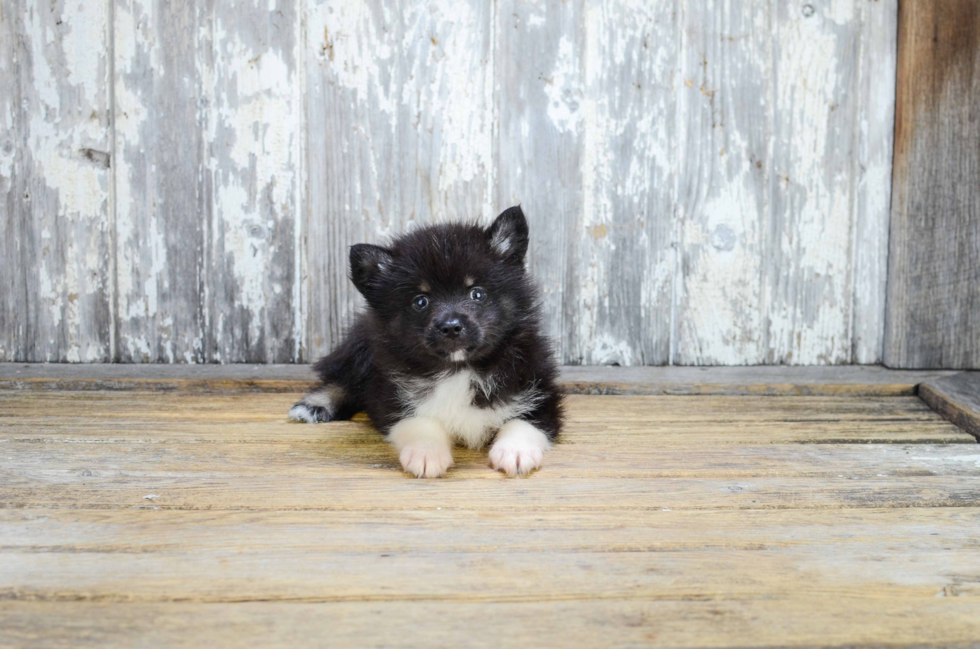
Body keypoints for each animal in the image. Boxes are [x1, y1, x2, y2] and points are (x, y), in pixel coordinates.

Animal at [288, 205, 564, 478]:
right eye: (421, 301)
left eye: (477, 293)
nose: (451, 327)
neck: (458, 369)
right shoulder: (389, 396)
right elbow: (418, 420)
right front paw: (426, 452)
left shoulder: (538, 387)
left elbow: (525, 420)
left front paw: (515, 450)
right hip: (360, 343)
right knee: (344, 378)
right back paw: (315, 405)